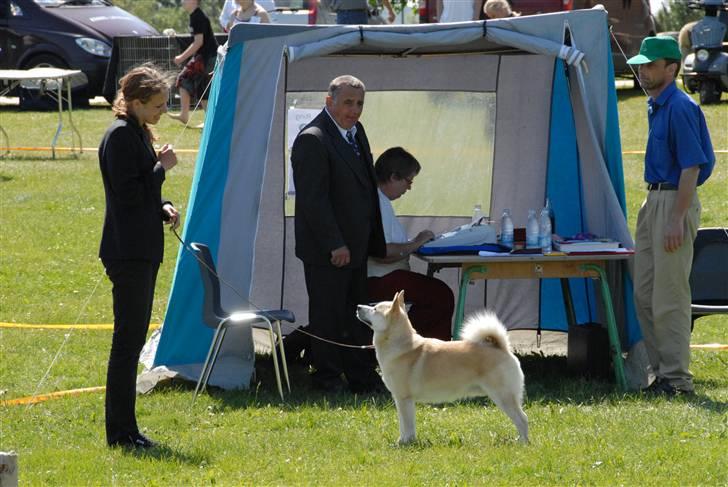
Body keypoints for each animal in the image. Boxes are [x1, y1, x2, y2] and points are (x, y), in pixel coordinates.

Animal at [356, 292, 528, 444]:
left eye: (375, 309)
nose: (357, 306)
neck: (400, 345)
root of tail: (502, 348)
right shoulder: (404, 401)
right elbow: (407, 425)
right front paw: (407, 441)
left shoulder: (403, 399)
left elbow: (406, 425)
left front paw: (404, 442)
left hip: (503, 396)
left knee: (522, 418)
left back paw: (523, 443)